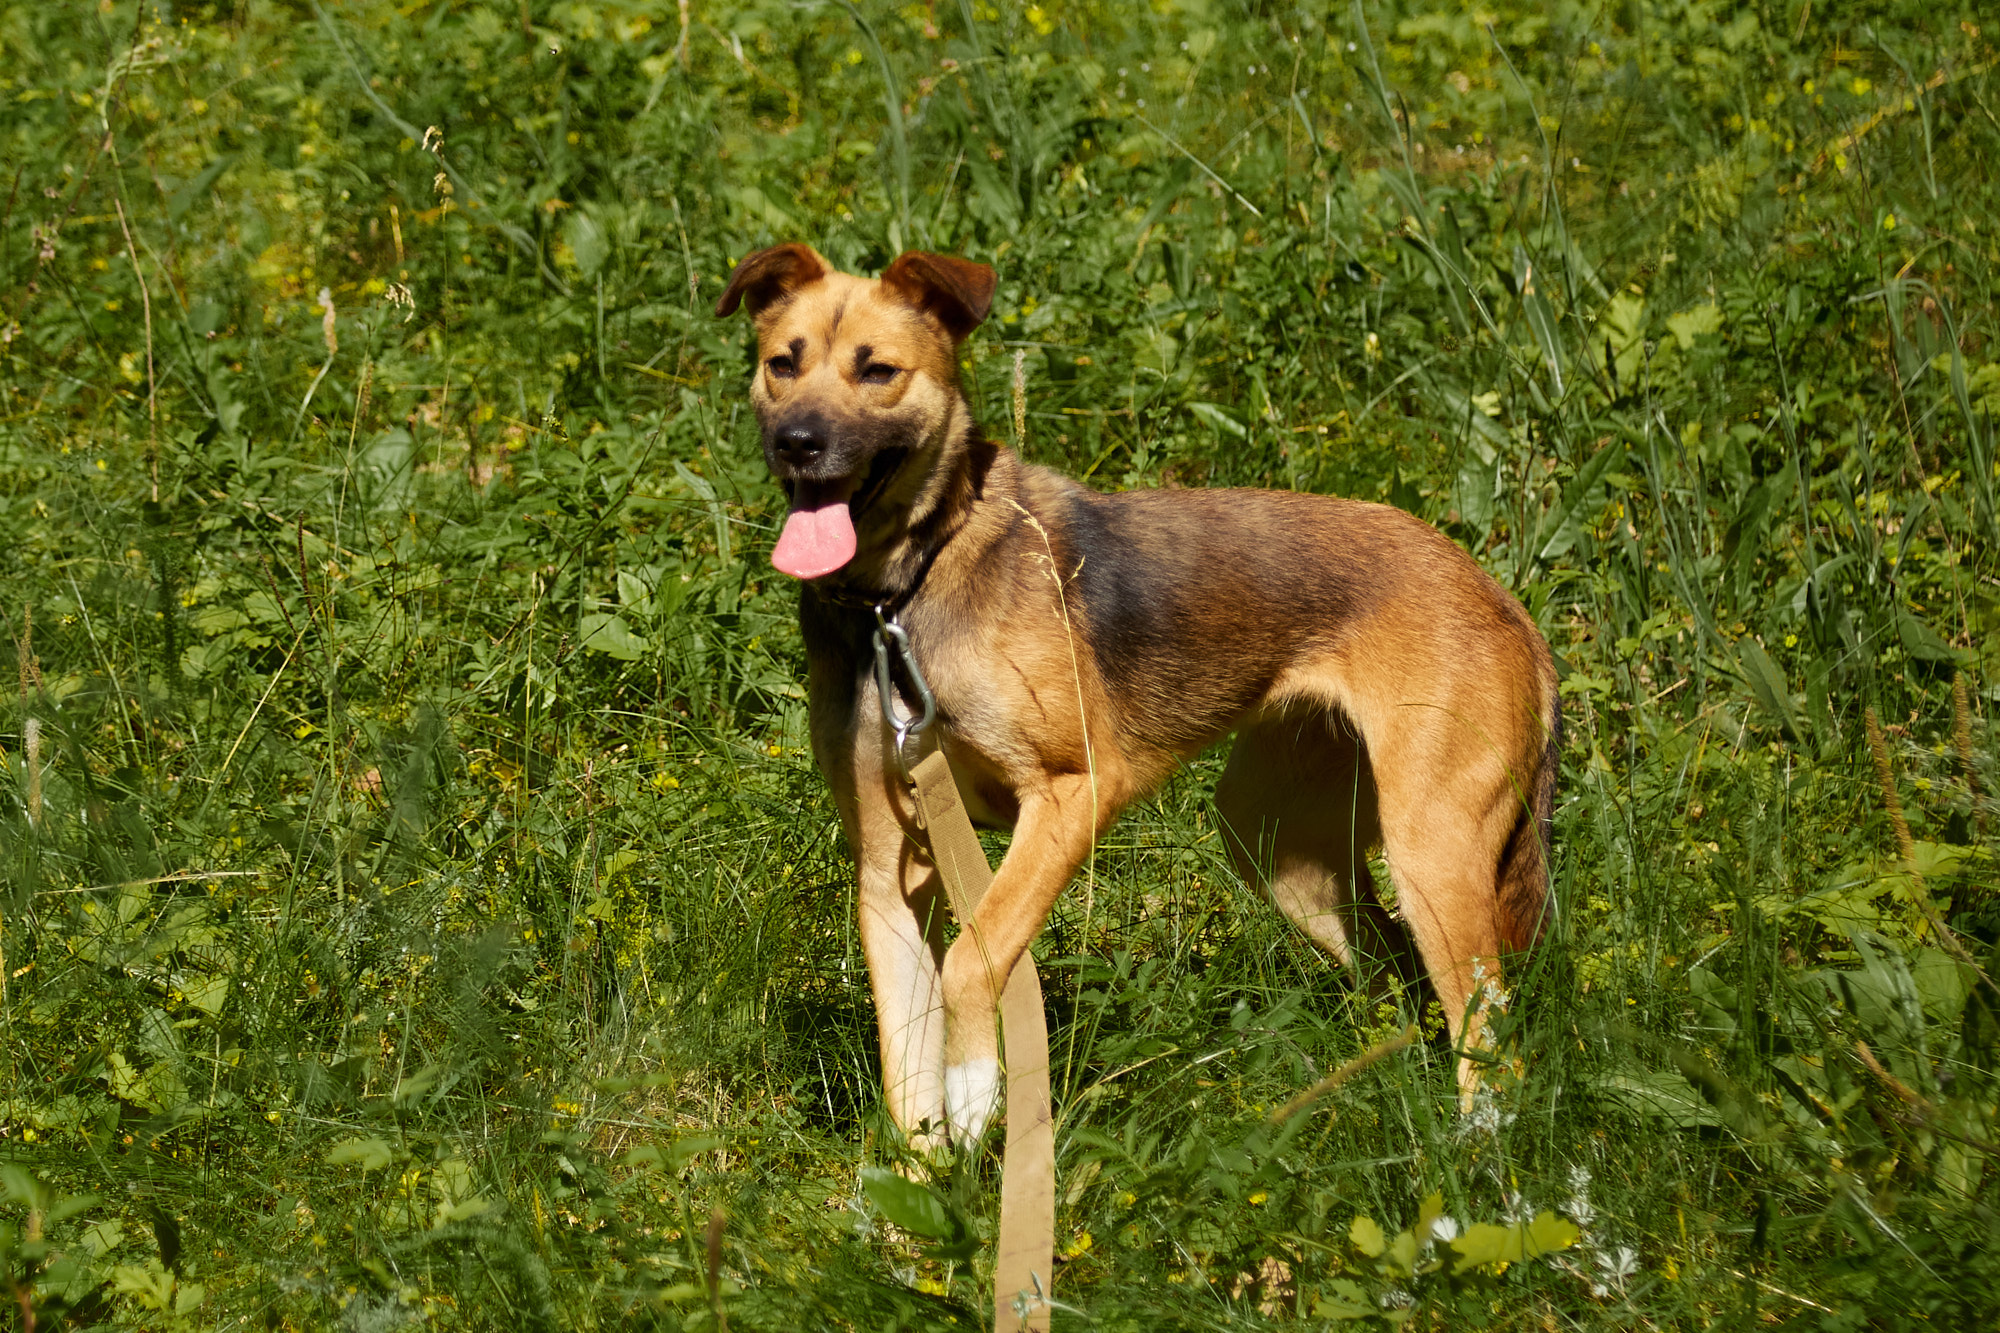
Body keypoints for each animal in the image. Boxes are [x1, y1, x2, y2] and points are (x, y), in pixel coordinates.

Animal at [720, 241, 1560, 1144]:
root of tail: (1501, 599)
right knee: (1401, 979)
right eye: (781, 364)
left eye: (877, 370)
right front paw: (928, 1179)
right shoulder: (886, 871)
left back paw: (1475, 1157)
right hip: (1276, 845)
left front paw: (979, 1096)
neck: (901, 594)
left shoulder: (1073, 790)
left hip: (1431, 849)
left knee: (1490, 1036)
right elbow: (907, 1077)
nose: (798, 442)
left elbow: (974, 956)